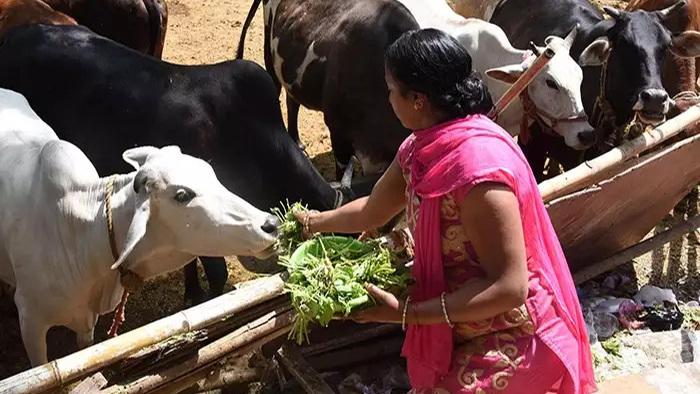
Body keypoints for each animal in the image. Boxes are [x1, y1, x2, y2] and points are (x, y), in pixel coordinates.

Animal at [0, 88, 278, 366]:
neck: (79, 233)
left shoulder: (86, 324)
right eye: (182, 195)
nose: (270, 224)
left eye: (210, 171)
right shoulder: (31, 321)